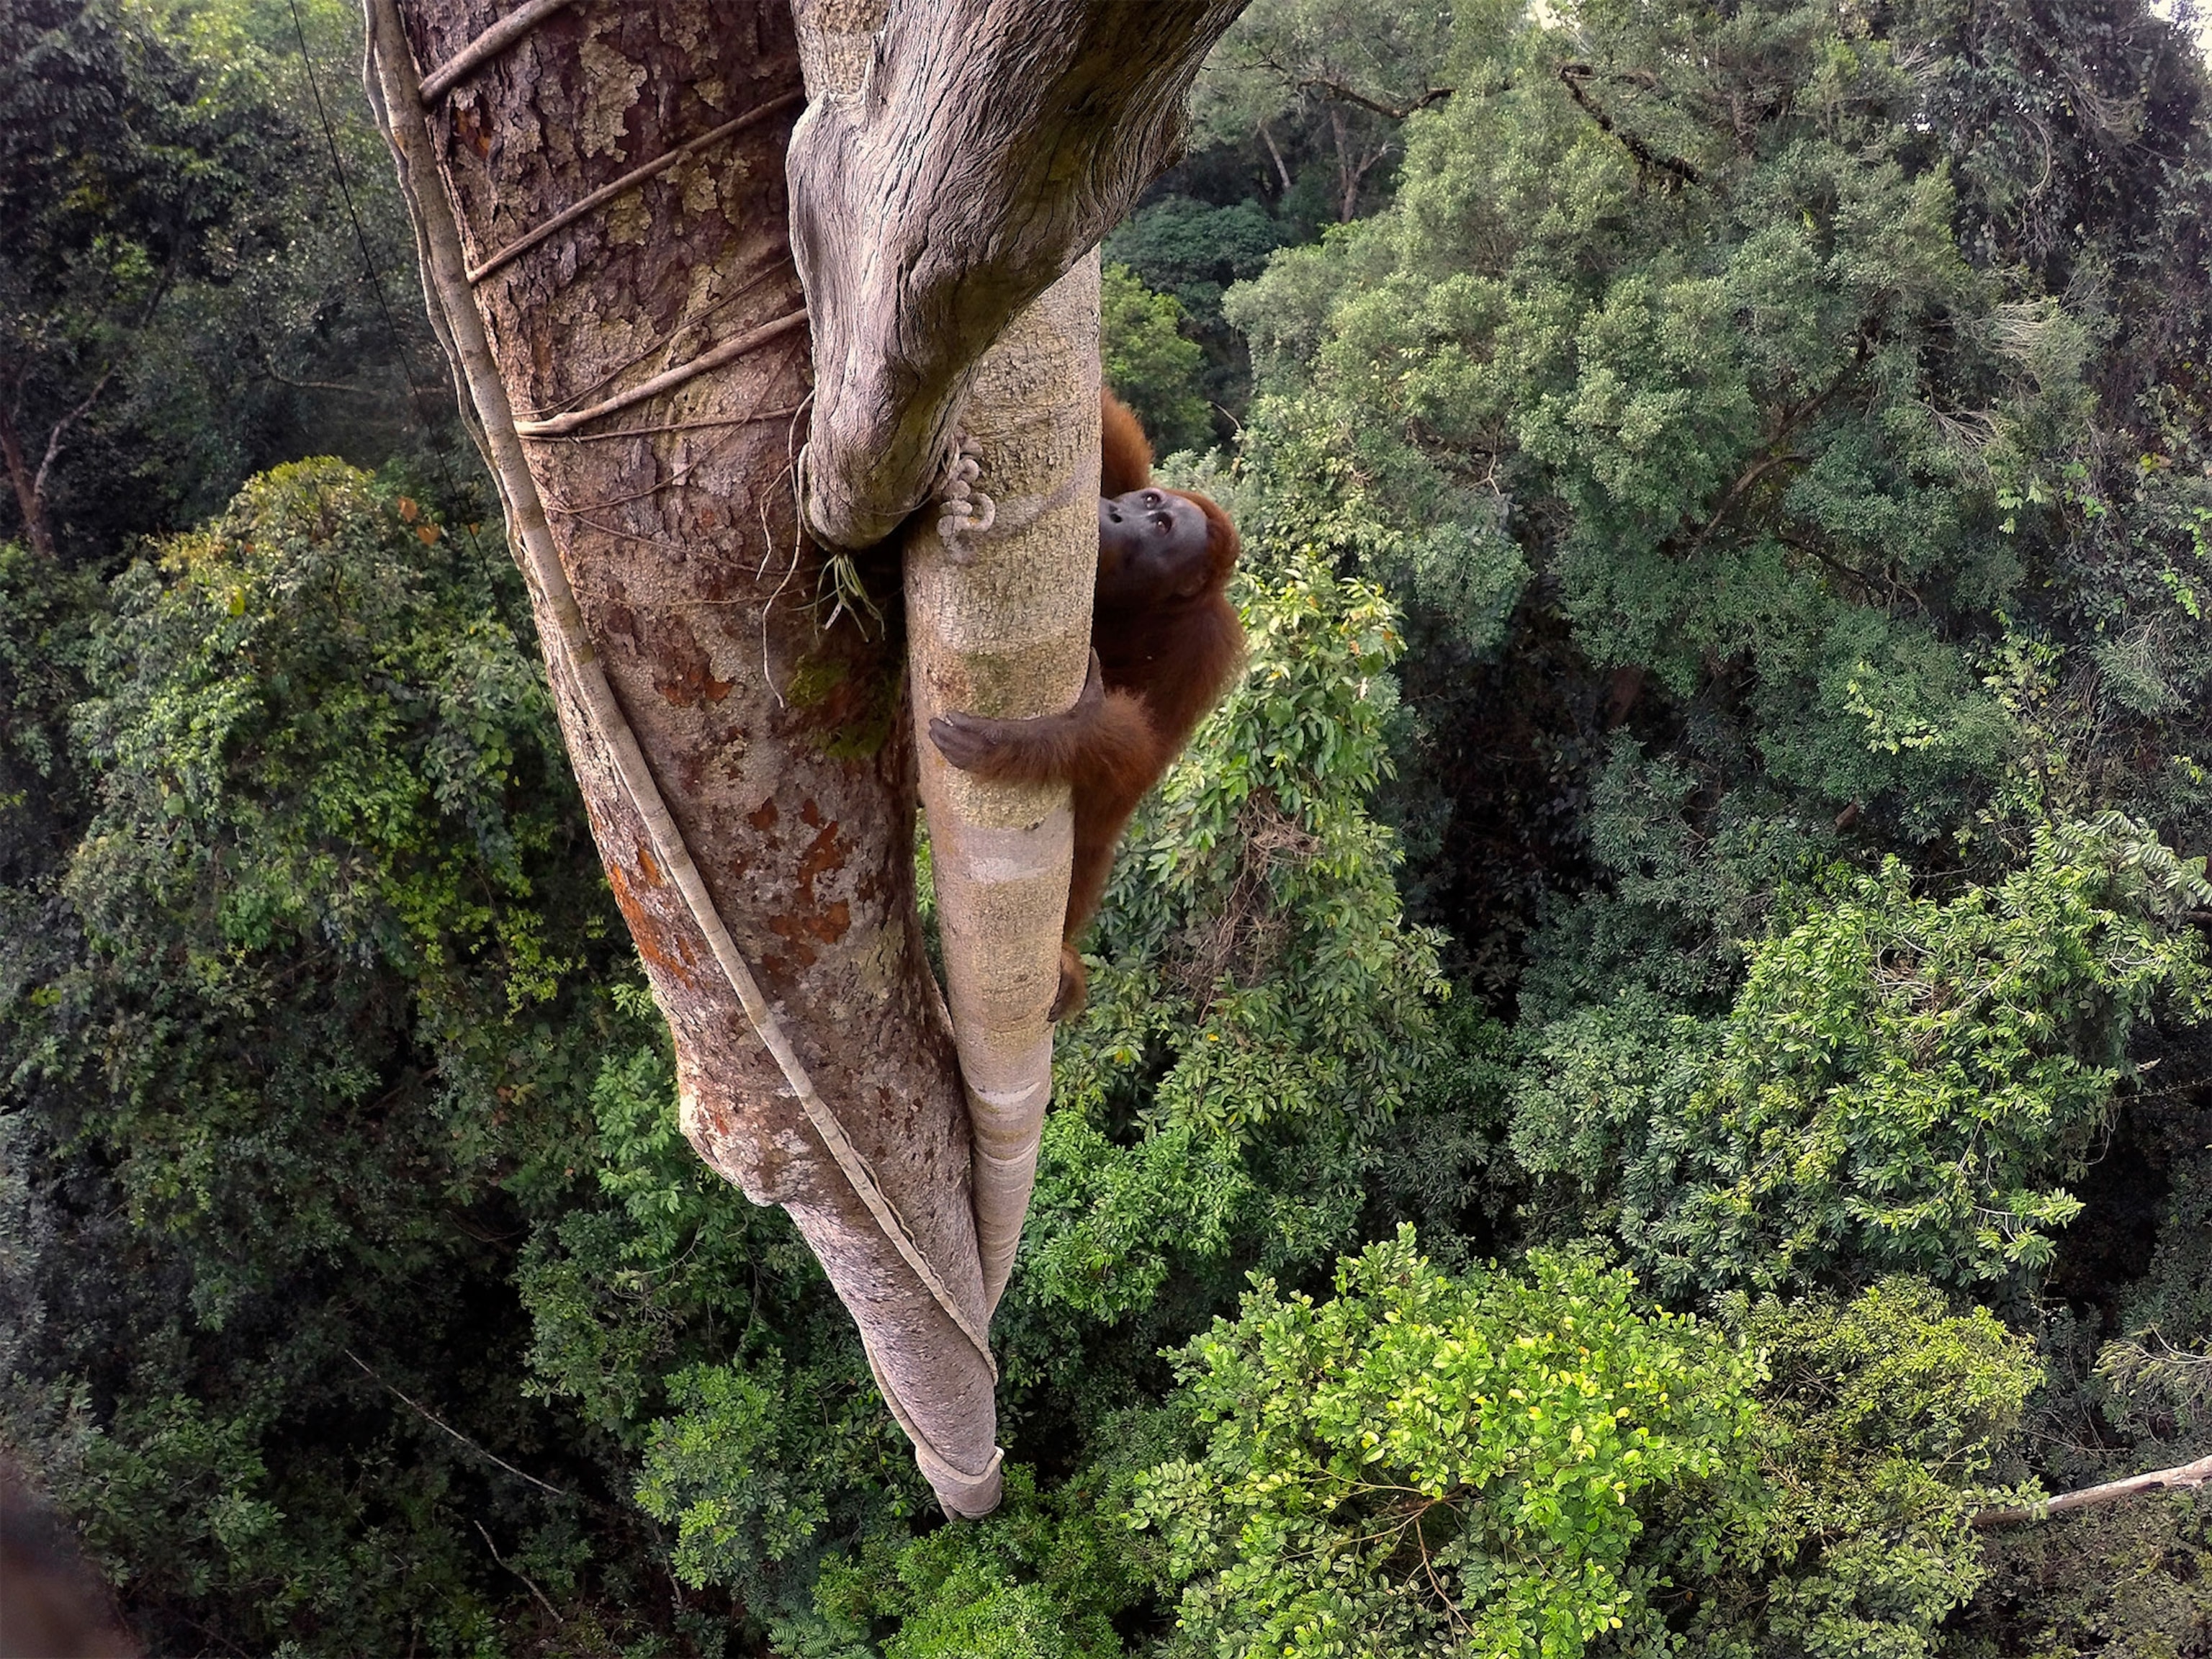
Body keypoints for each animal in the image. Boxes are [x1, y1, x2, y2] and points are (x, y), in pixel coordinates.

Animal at [928, 389, 1244, 1020]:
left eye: (1161, 526)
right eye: (1150, 501)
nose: (1119, 516)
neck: (1144, 607)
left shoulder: (1205, 650)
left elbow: (1129, 777)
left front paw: (1041, 739)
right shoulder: (1116, 474)